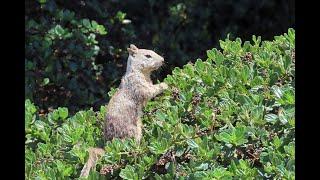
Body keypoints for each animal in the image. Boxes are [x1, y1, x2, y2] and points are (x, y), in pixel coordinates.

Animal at [80, 44, 169, 177]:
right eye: (148, 55)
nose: (163, 60)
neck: (140, 73)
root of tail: (109, 145)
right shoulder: (138, 85)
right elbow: (150, 91)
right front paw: (164, 85)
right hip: (133, 133)